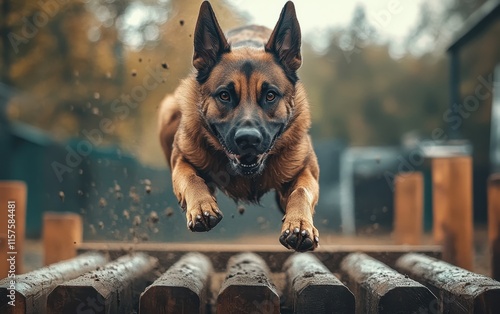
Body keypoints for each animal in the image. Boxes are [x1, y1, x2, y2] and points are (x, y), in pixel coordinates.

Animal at [158, 0, 318, 250]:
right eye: (225, 95)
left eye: (270, 96)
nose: (248, 139)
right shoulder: (182, 160)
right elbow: (192, 178)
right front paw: (202, 206)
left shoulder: (307, 170)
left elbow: (301, 191)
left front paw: (300, 224)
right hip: (168, 111)